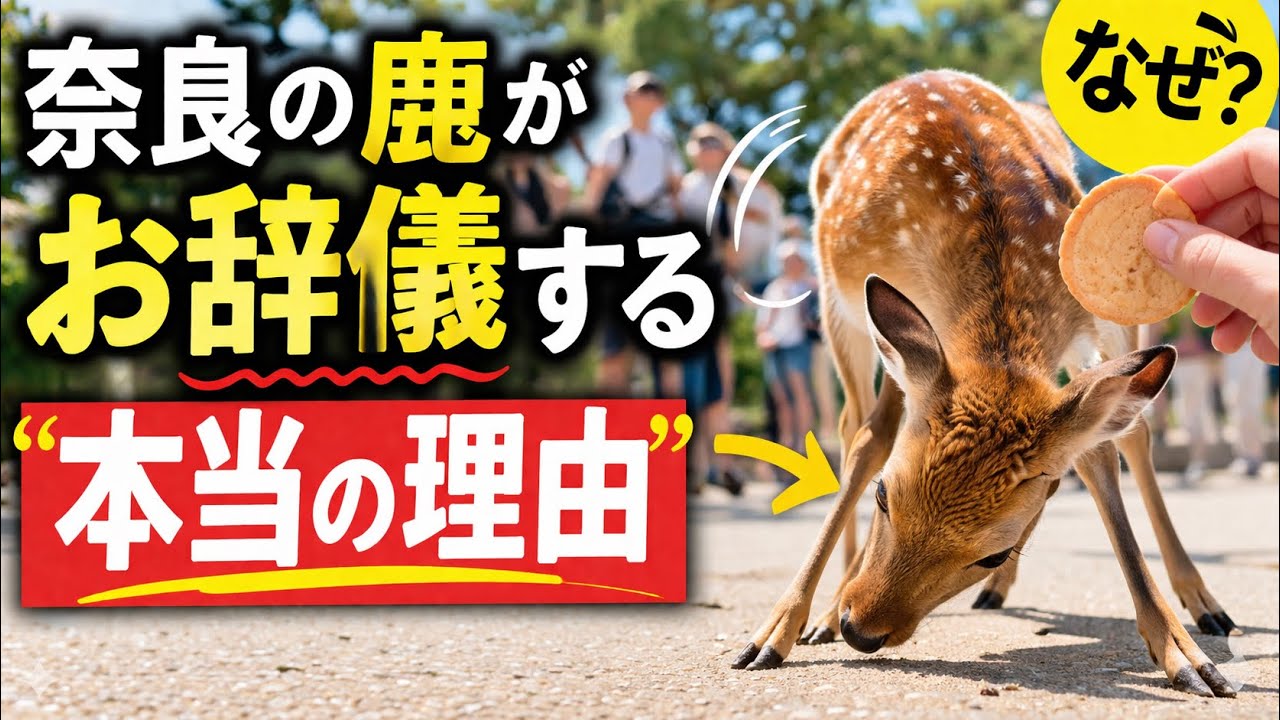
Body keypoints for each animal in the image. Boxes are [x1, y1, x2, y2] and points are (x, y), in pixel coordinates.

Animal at [729, 70, 1239, 698]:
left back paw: (1204, 605)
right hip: (837, 304)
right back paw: (824, 611)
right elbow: (872, 443)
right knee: (858, 427)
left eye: (992, 553)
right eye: (884, 497)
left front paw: (1186, 657)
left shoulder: (1082, 319)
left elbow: (1095, 458)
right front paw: (772, 634)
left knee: (1131, 436)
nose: (860, 630)